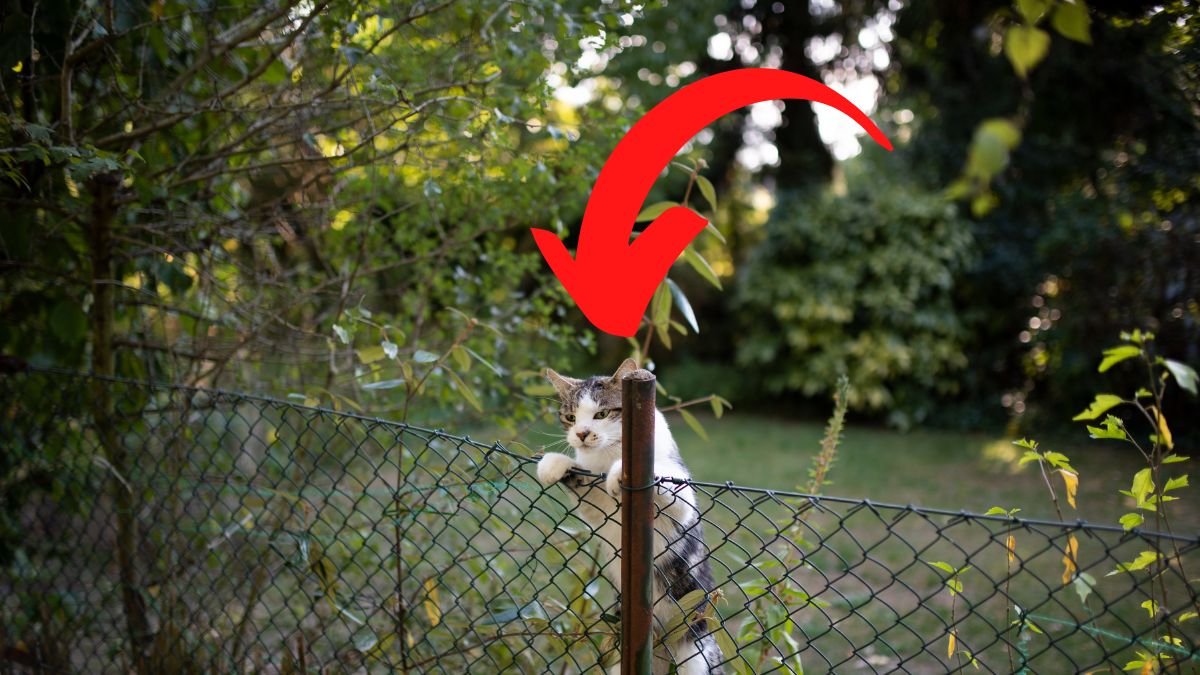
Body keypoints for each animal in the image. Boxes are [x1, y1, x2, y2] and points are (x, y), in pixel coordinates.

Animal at [540, 357, 724, 672]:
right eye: (571, 417)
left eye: (602, 413)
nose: (581, 434)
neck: (610, 454)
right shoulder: (598, 506)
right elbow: (585, 485)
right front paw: (553, 464)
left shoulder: (681, 498)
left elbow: (668, 487)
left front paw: (620, 473)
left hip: (695, 647)